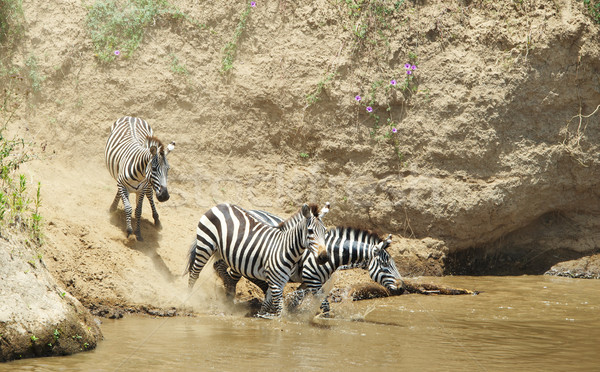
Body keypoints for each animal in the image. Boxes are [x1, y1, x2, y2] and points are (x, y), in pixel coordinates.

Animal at [185, 202, 330, 318]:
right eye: (310, 231)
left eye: (325, 231)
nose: (323, 258)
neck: (284, 248)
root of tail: (221, 205)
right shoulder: (278, 283)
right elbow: (281, 311)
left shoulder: (279, 281)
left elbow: (269, 303)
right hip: (205, 244)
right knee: (195, 273)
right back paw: (188, 300)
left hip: (224, 251)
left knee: (217, 267)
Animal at [213, 209, 400, 314]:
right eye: (385, 265)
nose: (402, 287)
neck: (331, 253)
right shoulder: (312, 279)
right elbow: (324, 306)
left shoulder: (308, 281)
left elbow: (296, 299)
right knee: (230, 272)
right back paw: (229, 293)